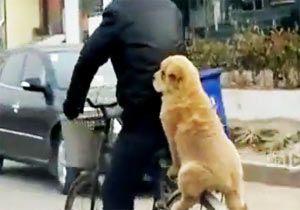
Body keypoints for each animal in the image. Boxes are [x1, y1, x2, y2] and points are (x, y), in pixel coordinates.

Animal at [152, 55, 246, 210]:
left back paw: (178, 205)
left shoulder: (171, 137)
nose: (153, 76)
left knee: (191, 198)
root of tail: (230, 183)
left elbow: (175, 156)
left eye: (163, 73)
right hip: (234, 190)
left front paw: (172, 170)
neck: (187, 92)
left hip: (188, 172)